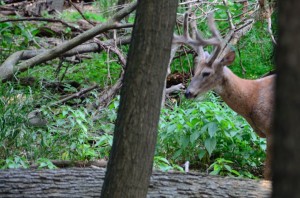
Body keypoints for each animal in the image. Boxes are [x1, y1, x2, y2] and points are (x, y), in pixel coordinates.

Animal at [172, 13, 276, 180]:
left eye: (206, 73)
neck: (253, 98)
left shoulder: (271, 130)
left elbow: (267, 174)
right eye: (195, 70)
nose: (188, 92)